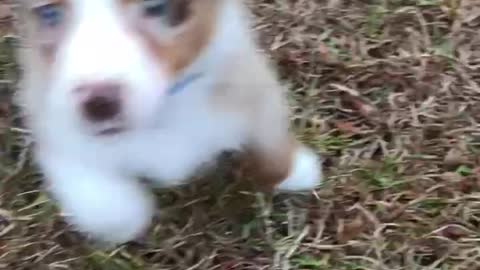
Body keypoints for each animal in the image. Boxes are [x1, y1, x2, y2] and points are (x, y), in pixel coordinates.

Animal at [15, 0, 322, 245]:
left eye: (158, 7)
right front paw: (124, 222)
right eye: (49, 13)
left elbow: (270, 142)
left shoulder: (245, 78)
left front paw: (298, 171)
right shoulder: (54, 121)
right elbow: (112, 211)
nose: (98, 104)